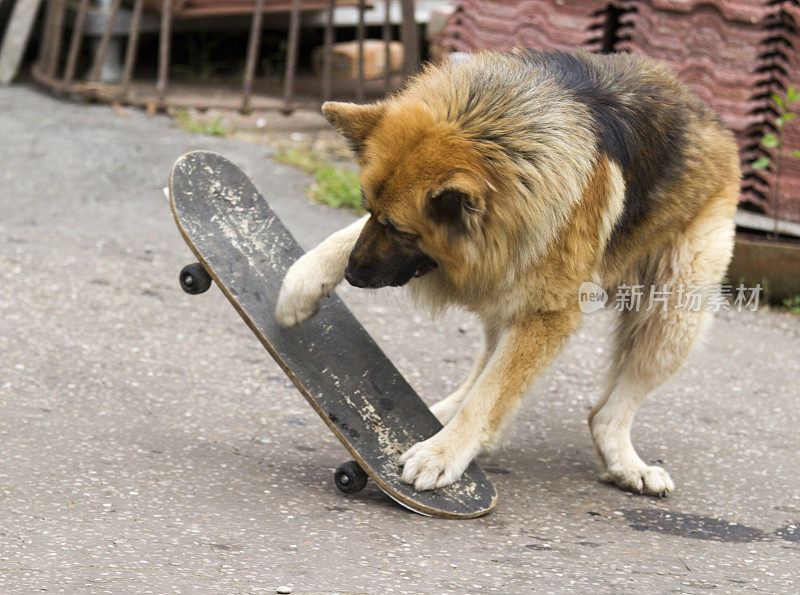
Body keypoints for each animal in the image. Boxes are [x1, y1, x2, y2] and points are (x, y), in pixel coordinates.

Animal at [274, 49, 736, 496]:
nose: (352, 276)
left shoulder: (545, 316)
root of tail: (713, 123)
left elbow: (491, 394)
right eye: (369, 209)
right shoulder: (501, 268)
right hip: (515, 292)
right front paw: (302, 282)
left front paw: (444, 453)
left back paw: (626, 464)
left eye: (401, 230)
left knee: (605, 413)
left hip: (672, 318)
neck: (505, 137)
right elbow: (346, 234)